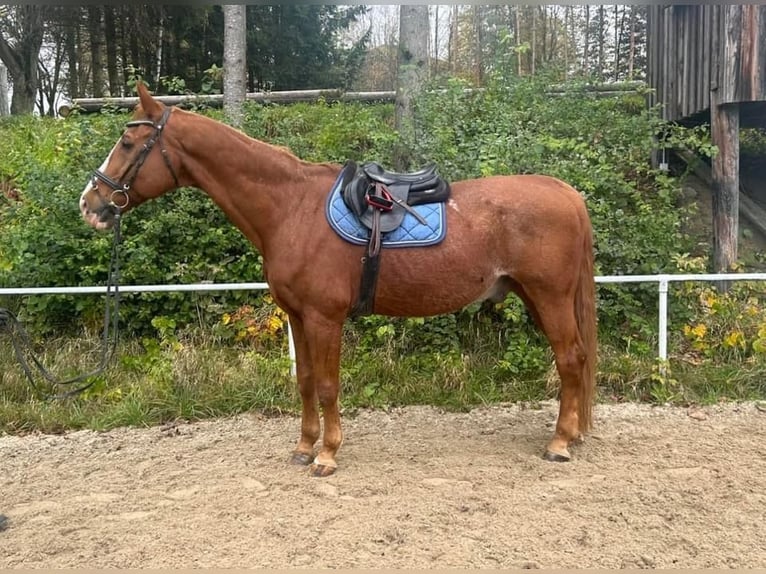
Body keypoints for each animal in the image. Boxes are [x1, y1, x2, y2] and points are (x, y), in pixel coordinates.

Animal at [82, 82, 600, 476]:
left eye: (128, 144)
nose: (91, 204)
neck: (291, 208)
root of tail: (566, 192)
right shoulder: (297, 316)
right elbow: (307, 381)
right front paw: (303, 447)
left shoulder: (324, 317)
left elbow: (329, 385)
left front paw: (327, 455)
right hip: (534, 296)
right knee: (574, 360)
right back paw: (572, 434)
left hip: (549, 297)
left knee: (570, 359)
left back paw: (559, 443)